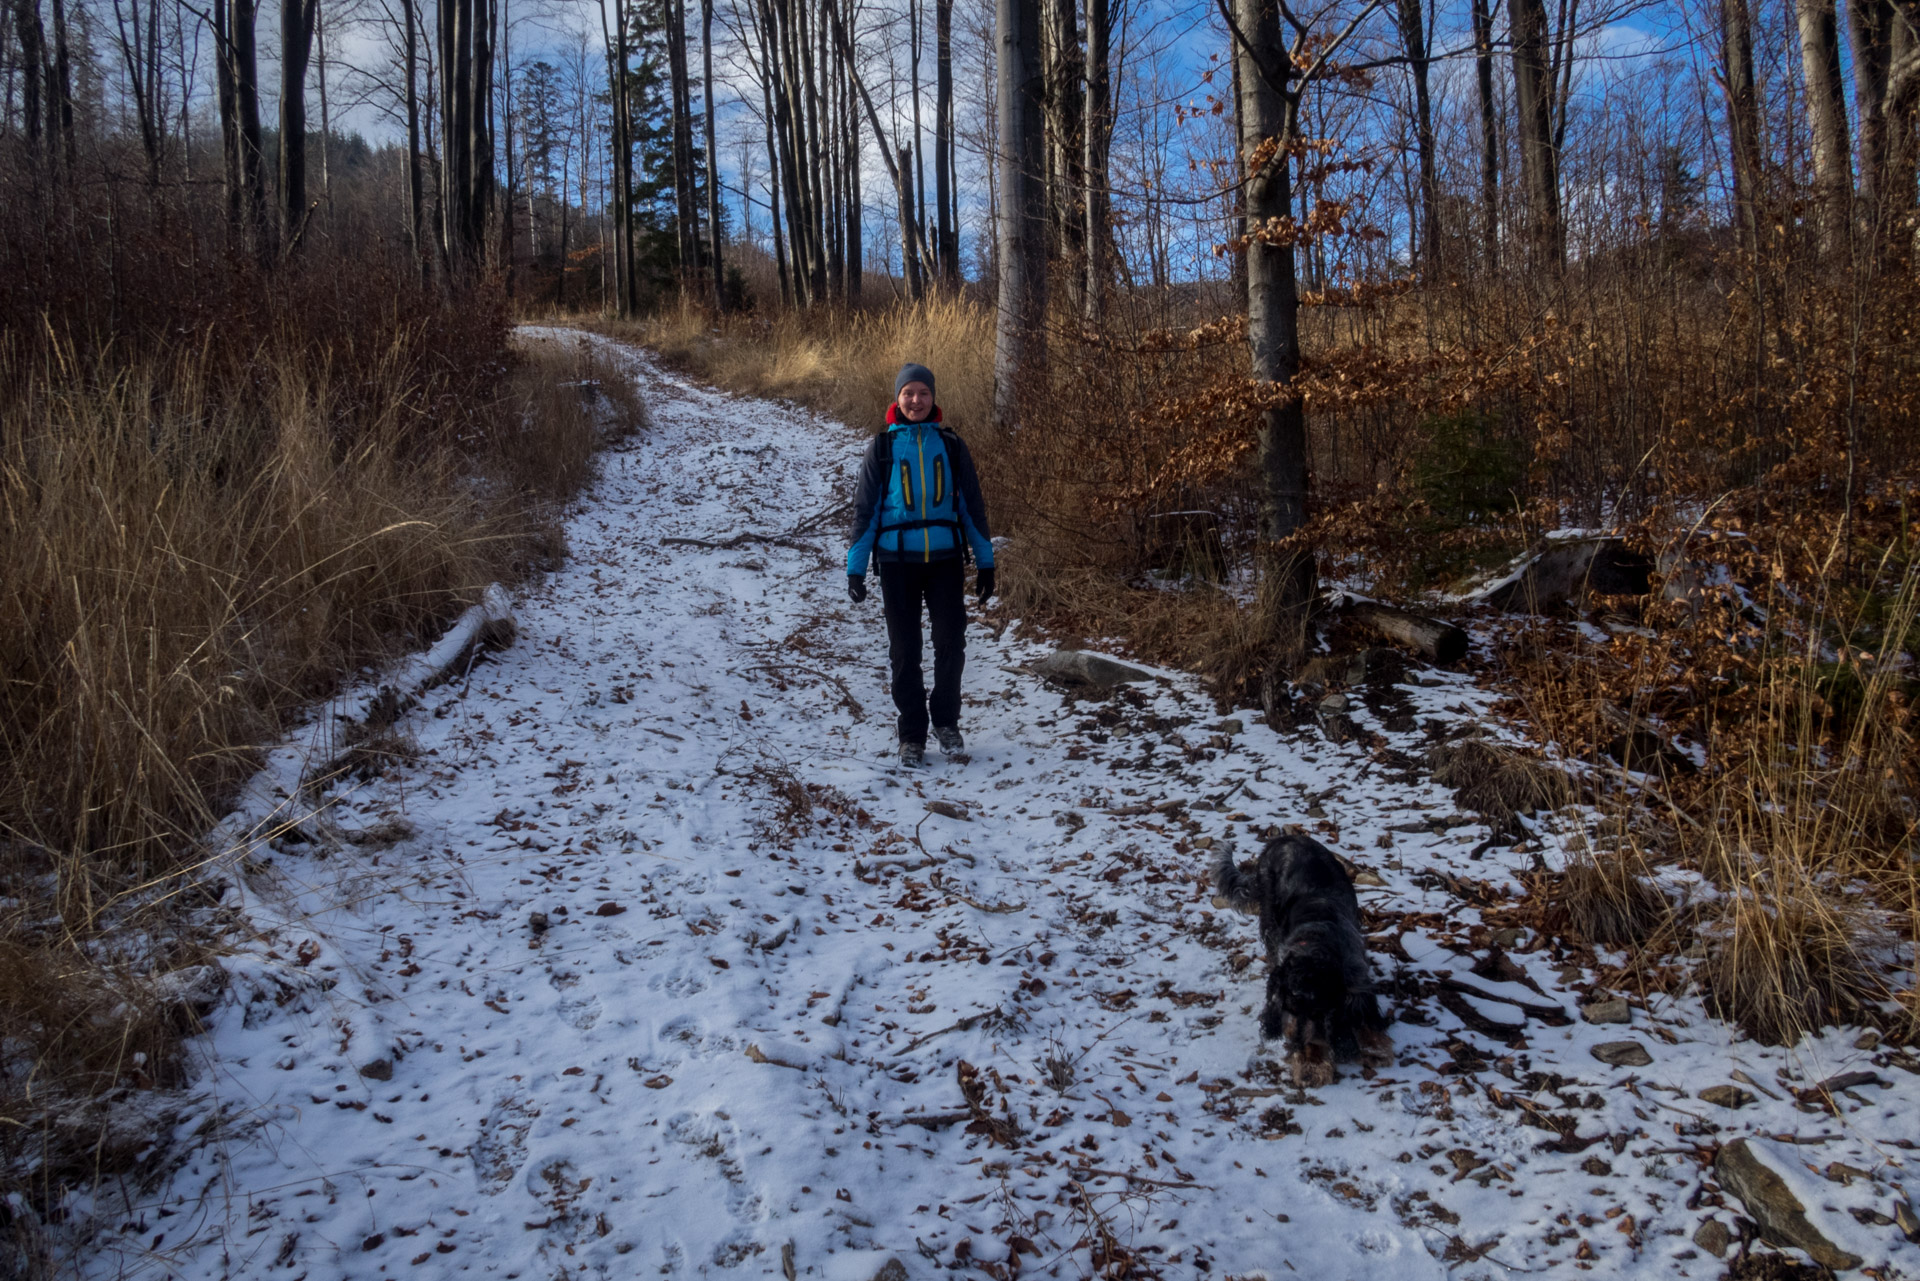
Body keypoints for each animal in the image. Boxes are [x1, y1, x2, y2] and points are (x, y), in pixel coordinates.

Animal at [1213, 837, 1397, 1090]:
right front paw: (1312, 1064)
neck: (1314, 943)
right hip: (1269, 917)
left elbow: (1364, 1014)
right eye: (1290, 1010)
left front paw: (1374, 1049)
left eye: (1319, 1010)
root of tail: (1282, 839)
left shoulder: (1356, 980)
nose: (1296, 1042)